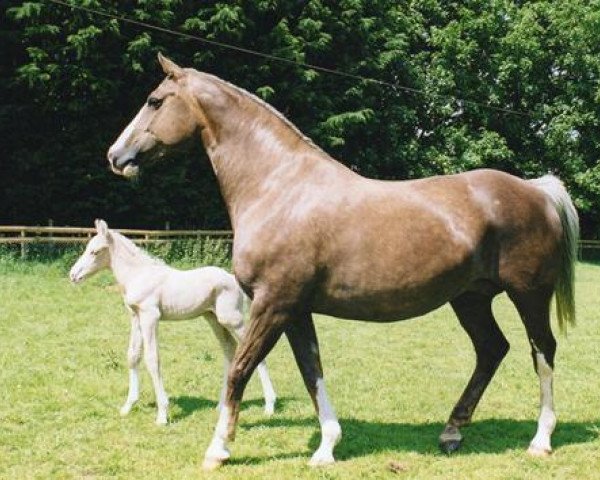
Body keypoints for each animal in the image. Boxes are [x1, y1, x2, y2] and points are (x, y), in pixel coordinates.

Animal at [70, 219, 276, 426]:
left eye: (95, 251)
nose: (73, 275)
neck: (139, 275)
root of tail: (233, 279)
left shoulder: (150, 317)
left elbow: (152, 359)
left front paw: (162, 414)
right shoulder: (136, 316)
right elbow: (133, 356)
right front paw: (128, 407)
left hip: (232, 319)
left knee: (253, 352)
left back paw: (269, 406)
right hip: (214, 319)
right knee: (230, 350)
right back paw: (221, 405)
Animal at [106, 53, 576, 468]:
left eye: (155, 100)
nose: (115, 156)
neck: (279, 187)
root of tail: (536, 191)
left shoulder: (273, 304)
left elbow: (239, 369)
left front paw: (218, 449)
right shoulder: (295, 311)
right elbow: (311, 370)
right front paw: (327, 446)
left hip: (528, 295)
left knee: (542, 351)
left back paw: (540, 440)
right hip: (471, 298)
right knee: (492, 350)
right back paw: (451, 432)